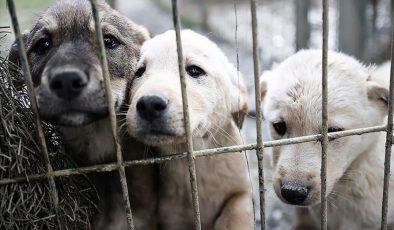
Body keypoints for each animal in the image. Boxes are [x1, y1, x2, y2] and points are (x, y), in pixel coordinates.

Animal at [124, 30, 254, 230]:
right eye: (139, 72)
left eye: (194, 70)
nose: (149, 104)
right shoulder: (171, 217)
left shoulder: (242, 190)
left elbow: (237, 211)